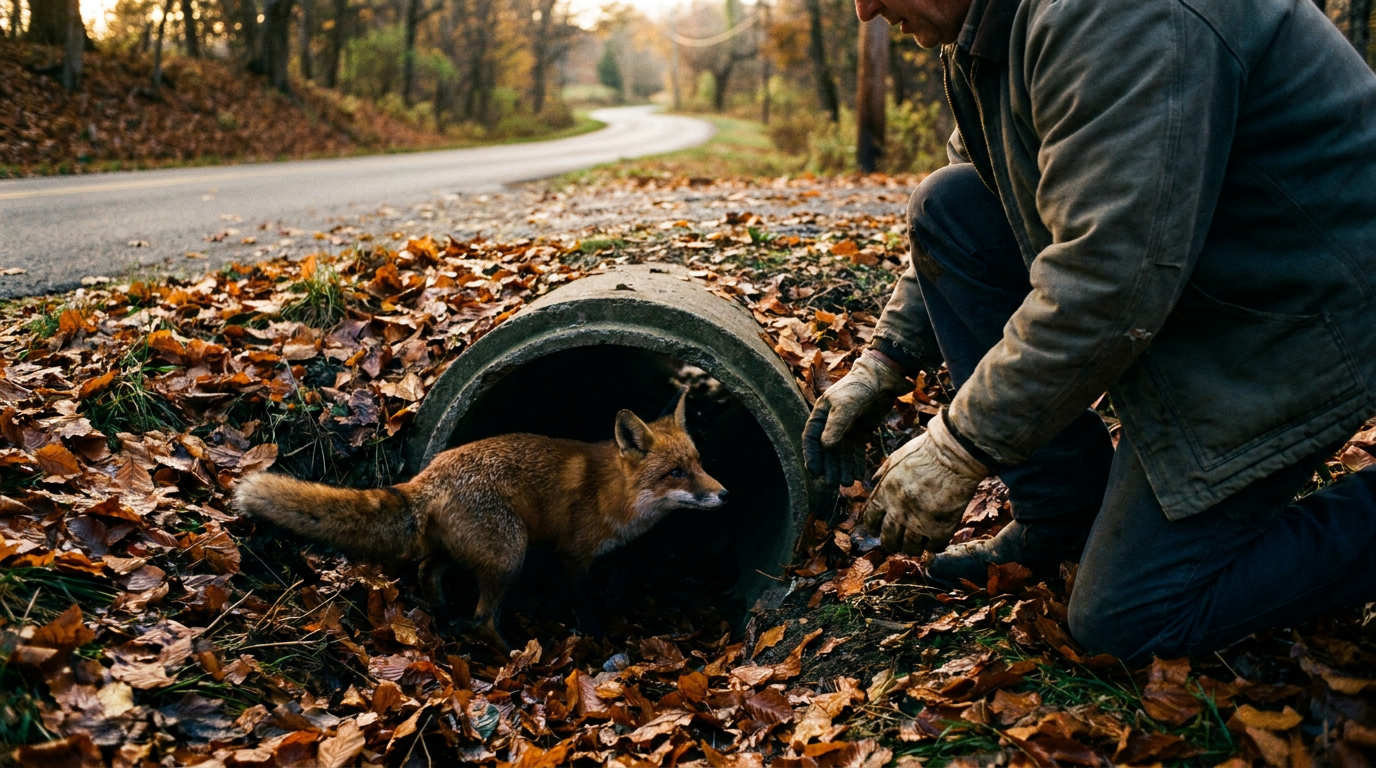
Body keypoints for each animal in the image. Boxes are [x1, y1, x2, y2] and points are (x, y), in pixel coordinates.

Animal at [232, 391, 727, 650]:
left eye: (699, 463)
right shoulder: (570, 556)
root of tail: (426, 476)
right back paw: (514, 656)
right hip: (510, 555)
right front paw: (595, 637)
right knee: (483, 620)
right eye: (675, 472)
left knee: (428, 570)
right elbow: (584, 604)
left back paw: (441, 611)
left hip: (471, 551)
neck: (613, 492)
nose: (725, 494)